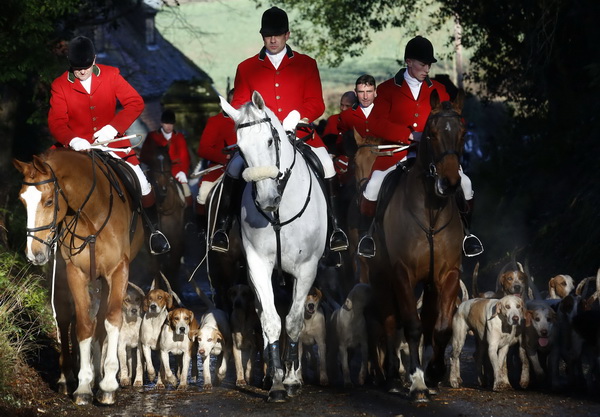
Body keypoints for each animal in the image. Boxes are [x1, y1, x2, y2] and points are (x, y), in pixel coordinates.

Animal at [12, 149, 144, 404]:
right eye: (22, 201)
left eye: (49, 201)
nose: (34, 254)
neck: (91, 214)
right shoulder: (75, 273)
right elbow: (83, 325)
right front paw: (83, 385)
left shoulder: (118, 271)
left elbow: (112, 321)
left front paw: (108, 384)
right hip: (62, 277)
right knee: (66, 319)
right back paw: (68, 377)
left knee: (100, 323)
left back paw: (98, 375)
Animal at [219, 92, 326, 402]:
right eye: (240, 149)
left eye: (269, 140)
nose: (267, 199)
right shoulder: (257, 265)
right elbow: (270, 321)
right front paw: (277, 382)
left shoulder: (306, 269)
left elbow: (293, 322)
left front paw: (291, 379)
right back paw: (270, 375)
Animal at [360, 92, 464, 400]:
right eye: (431, 134)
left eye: (463, 133)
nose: (450, 183)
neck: (431, 212)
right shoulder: (402, 273)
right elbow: (412, 326)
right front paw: (417, 381)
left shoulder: (448, 275)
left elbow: (440, 329)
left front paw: (434, 373)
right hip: (382, 279)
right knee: (391, 323)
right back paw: (394, 378)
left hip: (428, 285)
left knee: (428, 320)